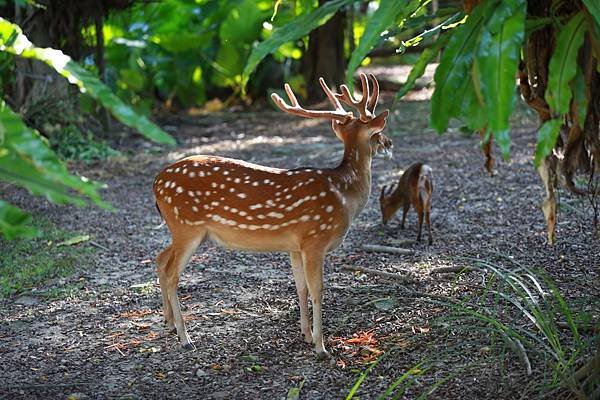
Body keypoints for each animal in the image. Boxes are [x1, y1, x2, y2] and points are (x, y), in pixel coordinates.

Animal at [152, 73, 392, 358]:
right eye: (378, 133)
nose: (389, 143)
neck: (345, 195)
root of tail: (156, 183)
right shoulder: (315, 239)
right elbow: (318, 290)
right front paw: (321, 347)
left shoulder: (295, 246)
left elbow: (300, 287)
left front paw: (306, 335)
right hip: (187, 226)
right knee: (172, 273)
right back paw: (185, 337)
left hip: (181, 229)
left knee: (159, 259)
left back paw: (168, 324)